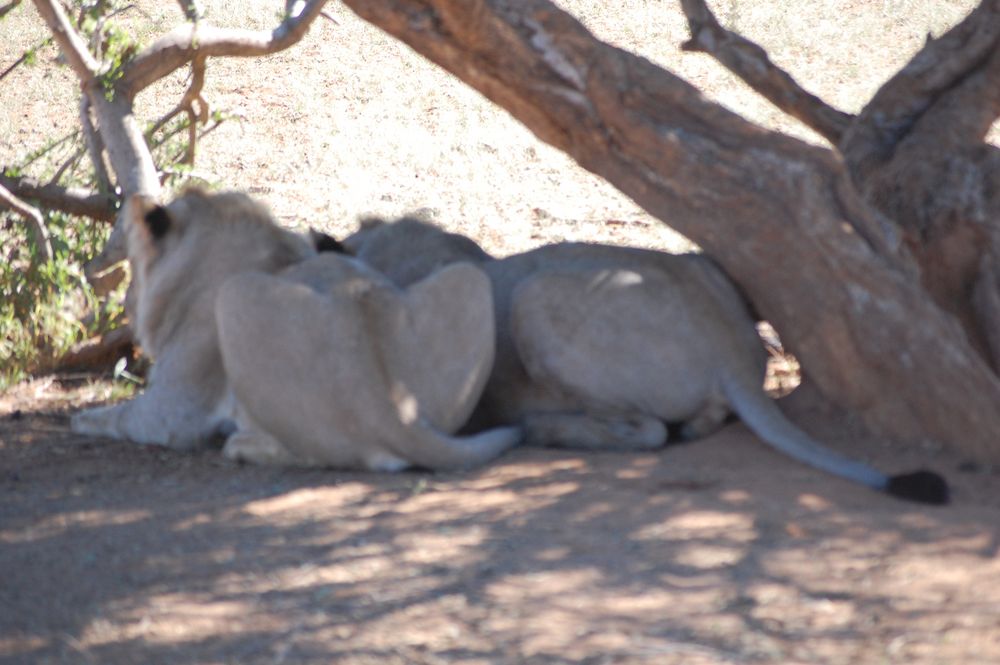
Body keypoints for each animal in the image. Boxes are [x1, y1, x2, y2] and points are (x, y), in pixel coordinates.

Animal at [73, 189, 520, 470]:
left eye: (130, 267)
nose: (126, 304)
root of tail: (396, 412)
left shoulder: (172, 411)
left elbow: (113, 416)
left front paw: (80, 419)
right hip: (468, 279)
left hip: (236, 298)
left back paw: (243, 445)